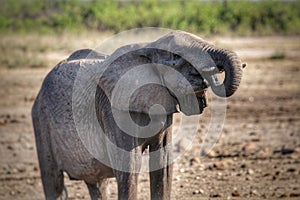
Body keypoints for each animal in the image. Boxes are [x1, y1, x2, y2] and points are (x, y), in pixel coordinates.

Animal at [31, 30, 245, 200]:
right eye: (177, 58)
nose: (211, 75)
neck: (148, 47)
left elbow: (163, 164)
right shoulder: (114, 110)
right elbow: (130, 166)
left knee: (97, 183)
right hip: (41, 119)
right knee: (53, 183)